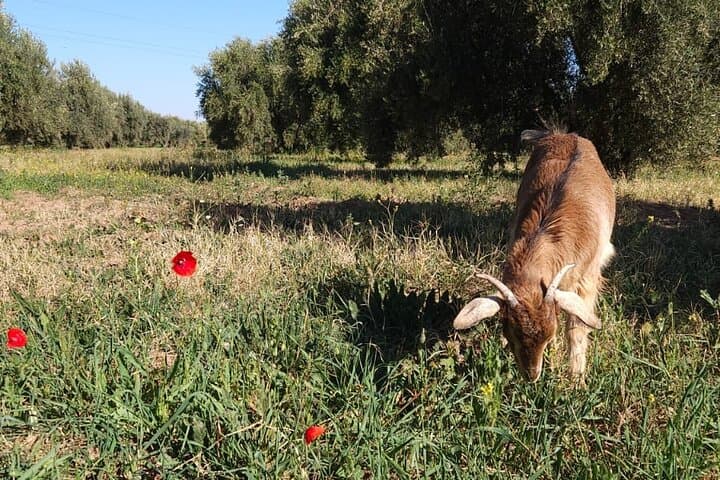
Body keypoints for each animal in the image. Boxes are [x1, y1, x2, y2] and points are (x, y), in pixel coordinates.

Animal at [454, 129, 615, 382]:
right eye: (510, 333)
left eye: (549, 335)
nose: (531, 375)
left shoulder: (587, 278)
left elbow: (577, 329)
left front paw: (576, 378)